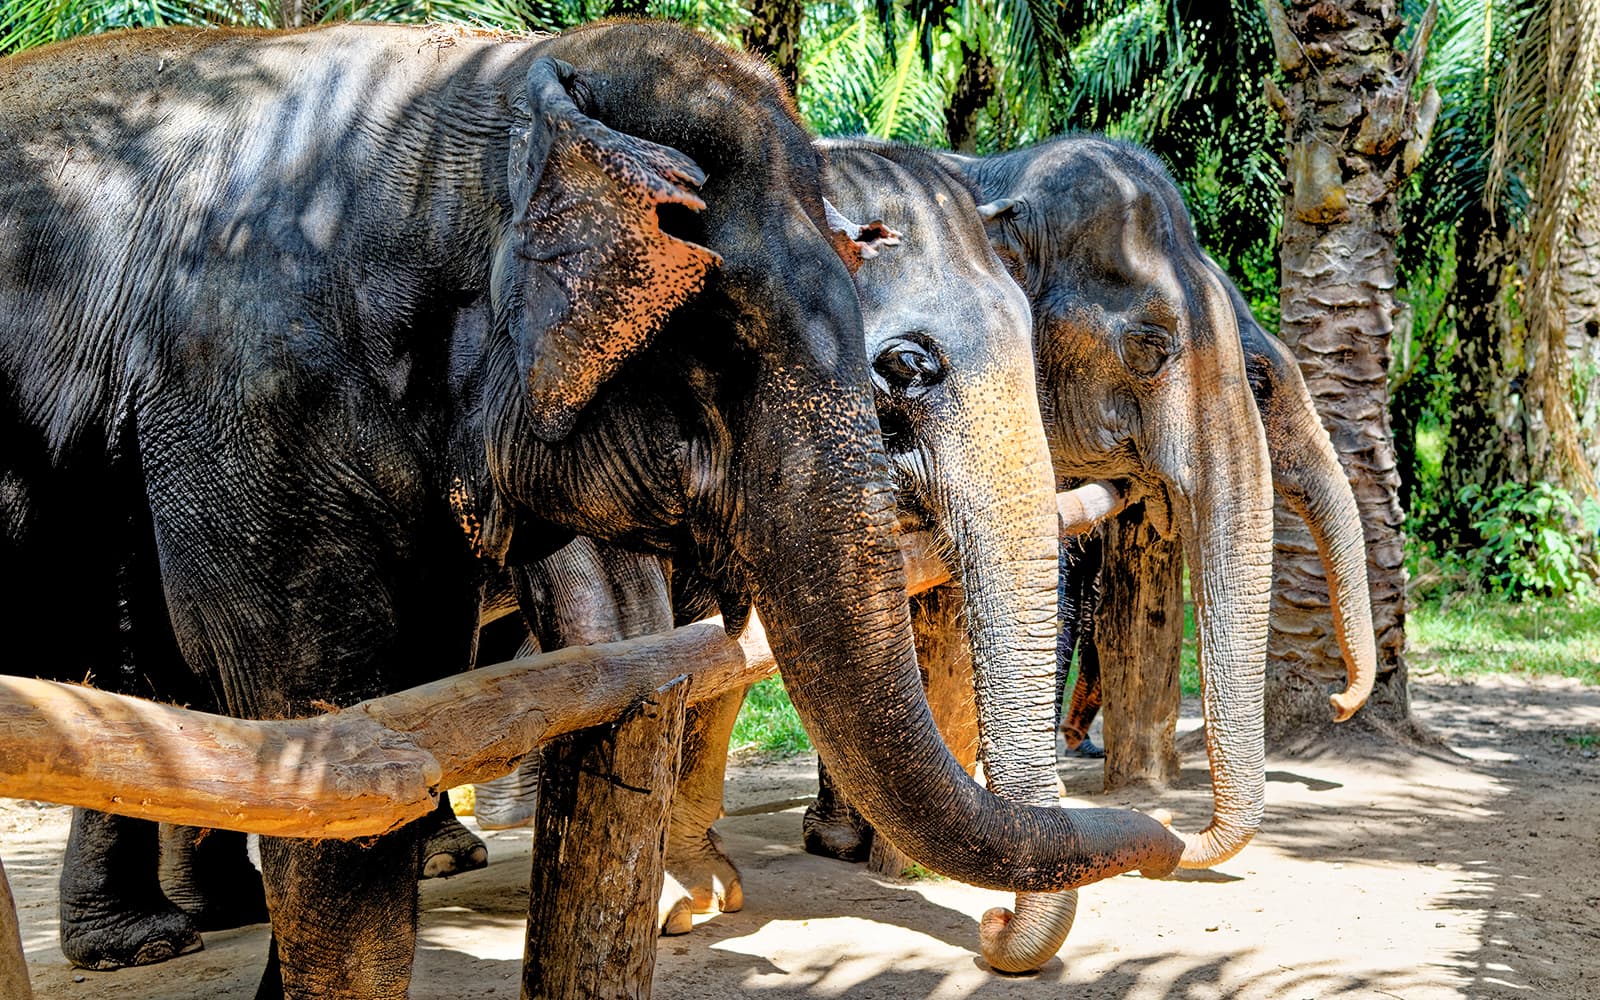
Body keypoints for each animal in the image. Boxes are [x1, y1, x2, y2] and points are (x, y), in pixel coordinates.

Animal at [0, 22, 1181, 998]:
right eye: (725, 338)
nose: (1170, 849)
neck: (483, 94)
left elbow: (405, 716)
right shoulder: (249, 391)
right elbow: (329, 748)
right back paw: (145, 944)